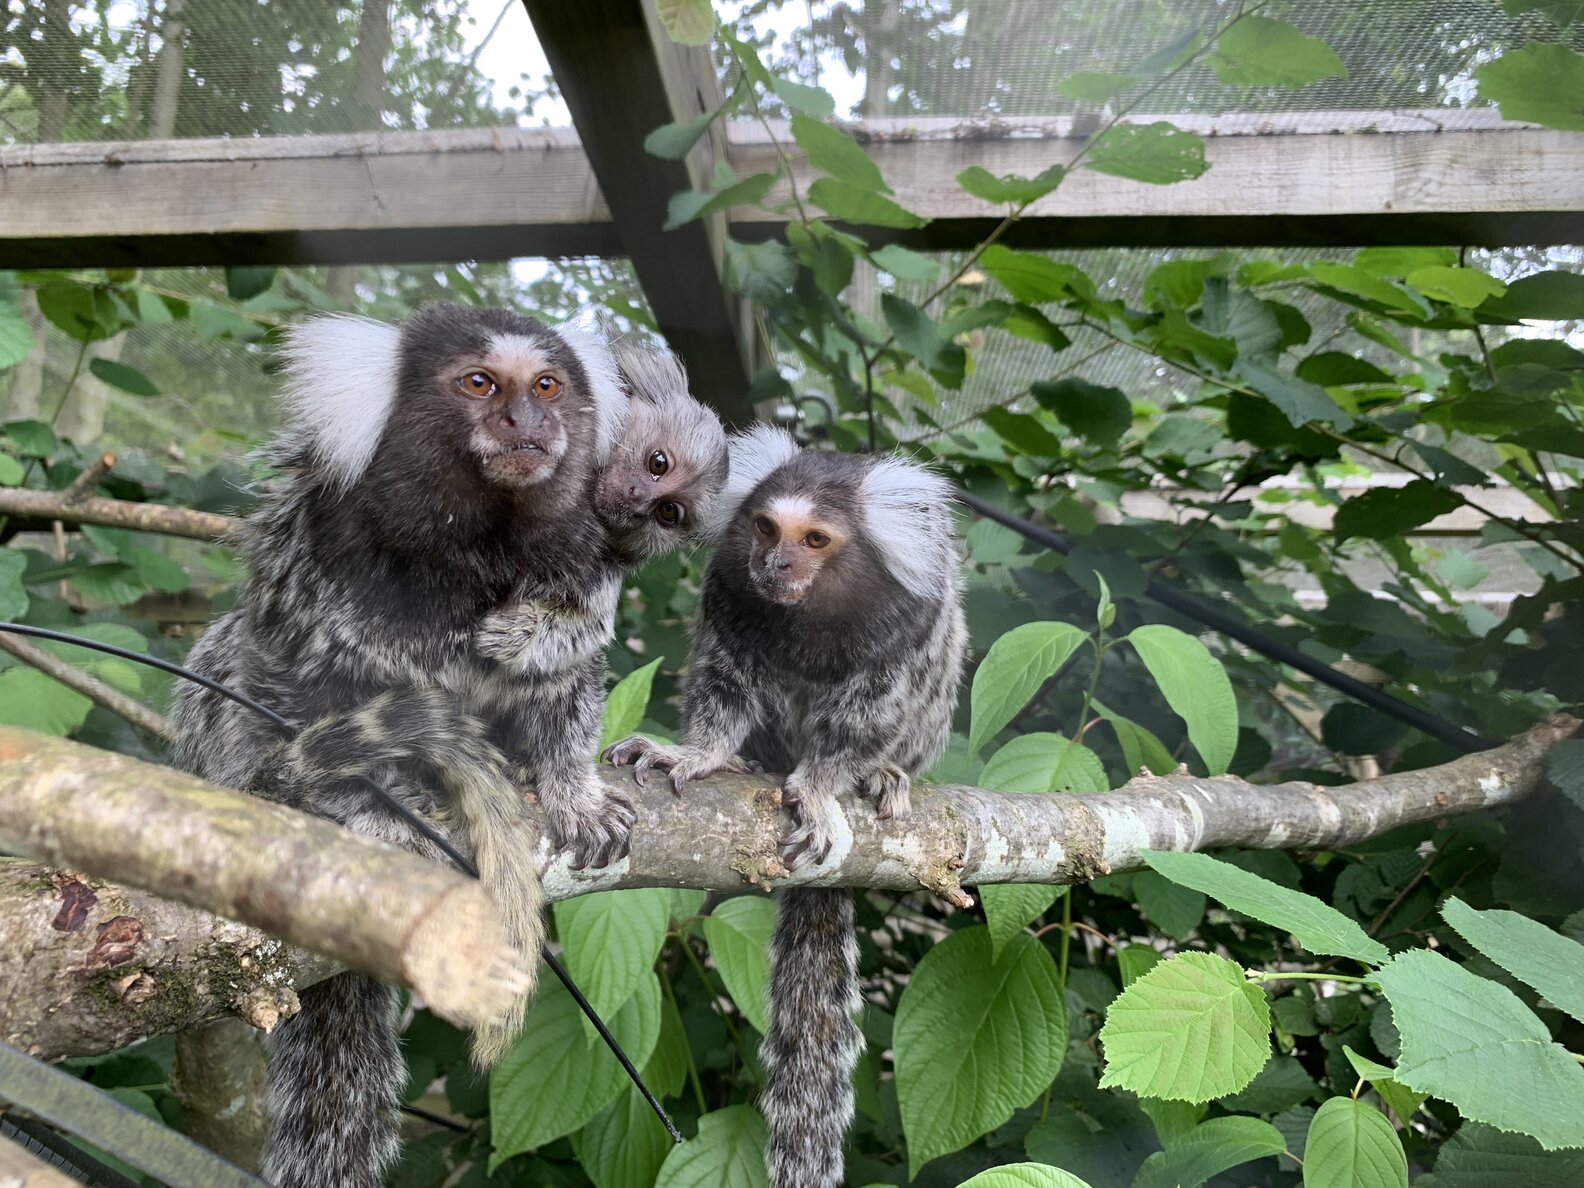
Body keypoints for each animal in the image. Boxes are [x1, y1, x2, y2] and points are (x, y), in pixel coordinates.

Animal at [168, 303, 634, 1188]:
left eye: (546, 385)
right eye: (480, 384)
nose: (529, 423)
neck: (478, 548)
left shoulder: (577, 580)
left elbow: (567, 681)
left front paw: (573, 789)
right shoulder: (315, 568)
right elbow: (279, 682)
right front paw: (368, 809)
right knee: (219, 662)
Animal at [605, 427, 967, 1188]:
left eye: (816, 539)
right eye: (768, 528)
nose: (772, 562)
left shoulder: (905, 628)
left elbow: (869, 714)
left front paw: (827, 787)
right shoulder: (728, 602)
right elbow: (725, 682)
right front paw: (702, 754)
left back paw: (883, 776)